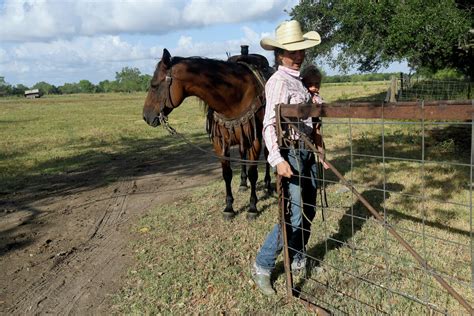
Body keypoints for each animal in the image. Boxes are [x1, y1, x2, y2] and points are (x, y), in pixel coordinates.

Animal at [142, 48, 270, 218]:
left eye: (154, 85)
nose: (146, 116)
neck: (234, 98)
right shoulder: (220, 142)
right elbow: (227, 174)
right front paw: (229, 207)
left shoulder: (255, 140)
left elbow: (253, 173)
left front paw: (252, 207)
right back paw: (243, 184)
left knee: (268, 156)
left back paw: (268, 184)